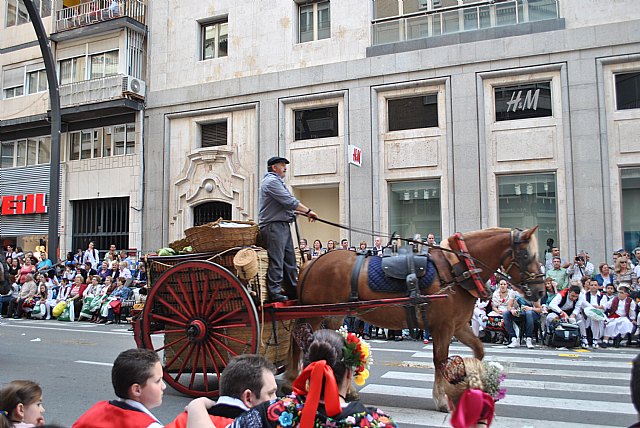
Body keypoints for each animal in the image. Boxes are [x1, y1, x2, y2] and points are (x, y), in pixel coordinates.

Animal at [284, 227, 544, 412]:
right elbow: (440, 360)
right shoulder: (443, 327)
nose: (540, 291)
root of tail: (311, 262)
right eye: (526, 254)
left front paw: (468, 387)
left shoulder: (459, 326)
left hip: (334, 315)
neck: (457, 269)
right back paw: (296, 379)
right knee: (301, 343)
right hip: (315, 313)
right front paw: (442, 399)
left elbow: (478, 351)